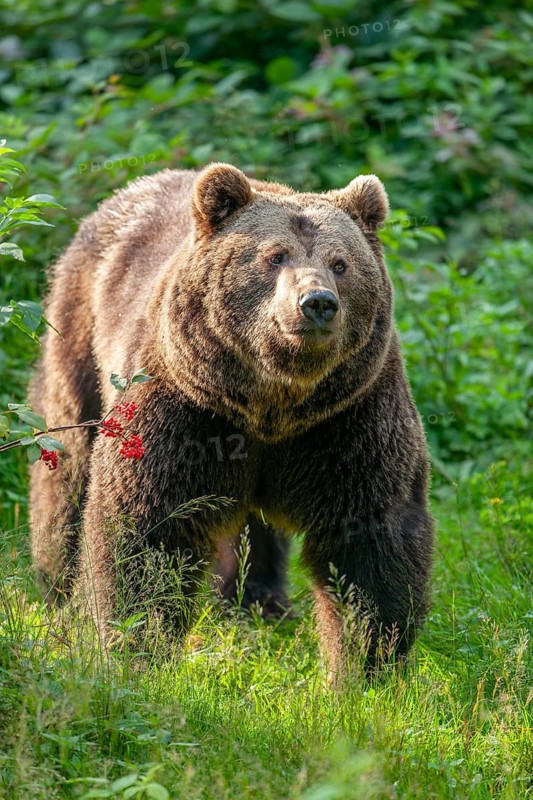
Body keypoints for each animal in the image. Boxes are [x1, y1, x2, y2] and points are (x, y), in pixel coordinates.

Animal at [29, 163, 434, 676]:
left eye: (341, 263)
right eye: (274, 256)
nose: (317, 302)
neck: (271, 403)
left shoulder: (348, 418)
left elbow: (368, 536)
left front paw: (365, 662)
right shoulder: (184, 410)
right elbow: (147, 525)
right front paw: (135, 644)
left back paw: (258, 602)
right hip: (79, 331)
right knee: (67, 462)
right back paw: (55, 587)